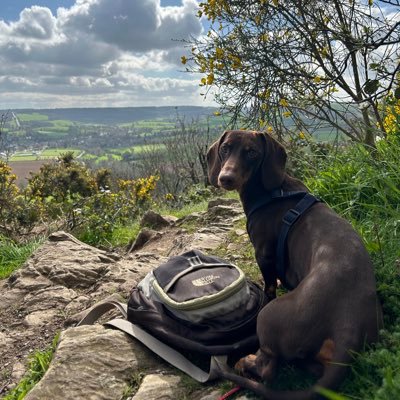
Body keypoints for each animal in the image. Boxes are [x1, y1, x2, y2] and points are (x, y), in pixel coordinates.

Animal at [208, 130, 382, 398]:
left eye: (252, 152)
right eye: (225, 148)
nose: (225, 178)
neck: (272, 192)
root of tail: (348, 323)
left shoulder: (263, 255)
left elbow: (269, 284)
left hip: (268, 317)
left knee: (268, 371)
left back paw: (244, 362)